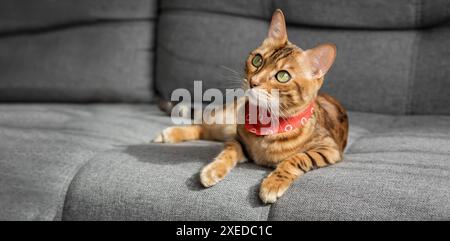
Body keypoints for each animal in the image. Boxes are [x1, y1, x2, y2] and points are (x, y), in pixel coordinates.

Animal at [153, 9, 350, 203]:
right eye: (257, 60)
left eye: (283, 76)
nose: (253, 81)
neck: (265, 124)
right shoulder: (238, 140)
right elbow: (228, 152)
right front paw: (214, 168)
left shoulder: (329, 149)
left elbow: (297, 158)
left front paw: (273, 183)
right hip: (225, 122)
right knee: (203, 124)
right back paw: (170, 133)